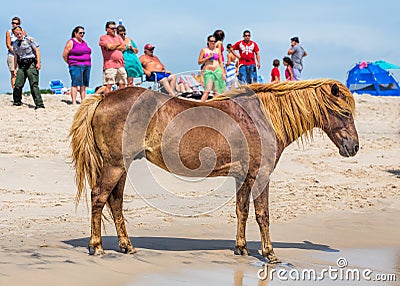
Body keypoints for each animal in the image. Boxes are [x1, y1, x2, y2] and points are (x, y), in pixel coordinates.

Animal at [69, 78, 360, 262]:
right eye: (345, 113)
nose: (354, 147)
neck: (263, 118)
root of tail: (105, 96)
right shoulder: (262, 176)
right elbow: (263, 215)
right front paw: (270, 254)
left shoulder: (244, 177)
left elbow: (242, 211)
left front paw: (241, 249)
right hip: (115, 165)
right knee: (99, 197)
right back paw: (97, 247)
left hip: (122, 166)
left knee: (115, 202)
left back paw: (127, 246)